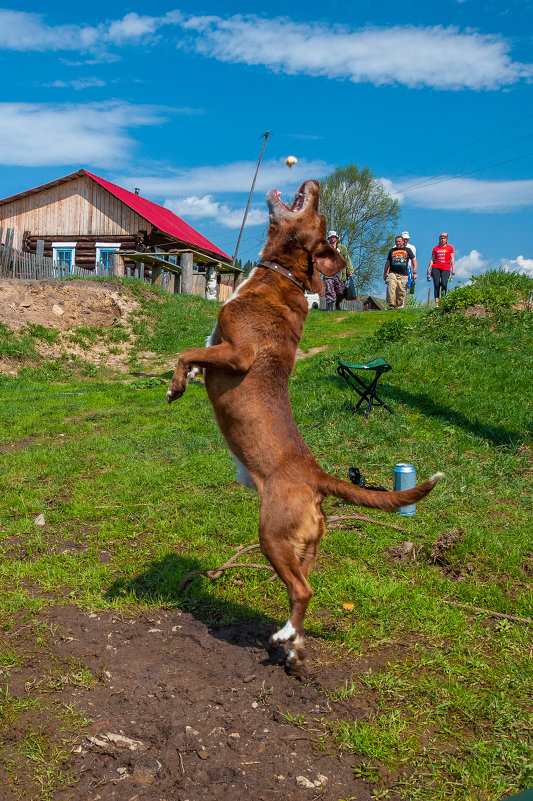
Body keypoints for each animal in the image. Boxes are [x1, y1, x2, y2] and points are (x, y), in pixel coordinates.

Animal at [168, 178, 442, 672]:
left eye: (317, 213)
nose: (315, 182)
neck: (283, 275)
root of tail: (317, 478)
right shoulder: (218, 347)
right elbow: (196, 354)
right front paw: (185, 380)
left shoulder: (238, 353)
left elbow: (186, 353)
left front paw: (175, 386)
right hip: (304, 547)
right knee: (303, 593)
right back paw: (292, 645)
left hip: (272, 536)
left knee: (303, 590)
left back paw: (284, 638)